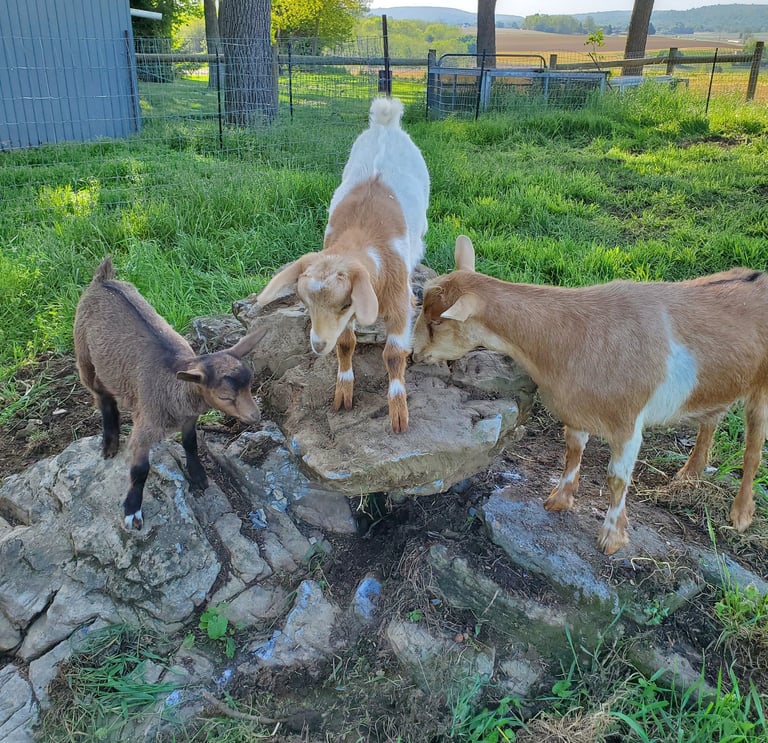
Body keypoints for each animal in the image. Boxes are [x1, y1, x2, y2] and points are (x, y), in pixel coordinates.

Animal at [74, 257, 265, 530]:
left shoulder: (189, 419)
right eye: (225, 397)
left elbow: (191, 443)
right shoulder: (145, 426)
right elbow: (139, 470)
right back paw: (109, 443)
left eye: (250, 385)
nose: (255, 417)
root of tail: (103, 279)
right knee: (101, 395)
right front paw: (132, 509)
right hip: (83, 352)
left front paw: (198, 475)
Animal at [255, 96, 430, 433]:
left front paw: (398, 413)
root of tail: (385, 123)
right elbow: (346, 343)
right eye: (305, 302)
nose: (318, 344)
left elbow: (393, 354)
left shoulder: (396, 302)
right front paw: (343, 393)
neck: (362, 239)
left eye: (345, 303)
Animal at [412, 235, 768, 555]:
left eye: (437, 322)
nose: (414, 354)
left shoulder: (627, 425)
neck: (571, 335)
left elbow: (616, 479)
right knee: (712, 417)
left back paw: (740, 515)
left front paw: (611, 538)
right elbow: (572, 450)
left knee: (753, 448)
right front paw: (559, 499)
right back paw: (689, 474)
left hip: (762, 387)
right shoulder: (577, 409)